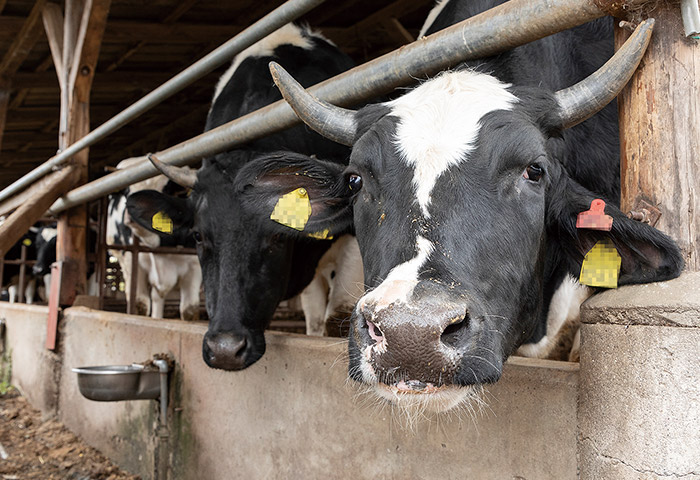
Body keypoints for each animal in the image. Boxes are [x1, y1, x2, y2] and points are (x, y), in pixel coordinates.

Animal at [106, 159, 201, 320]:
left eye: (164, 189)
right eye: (126, 191)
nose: (130, 216)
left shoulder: (194, 266)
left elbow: (189, 310)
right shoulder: (133, 262)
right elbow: (139, 304)